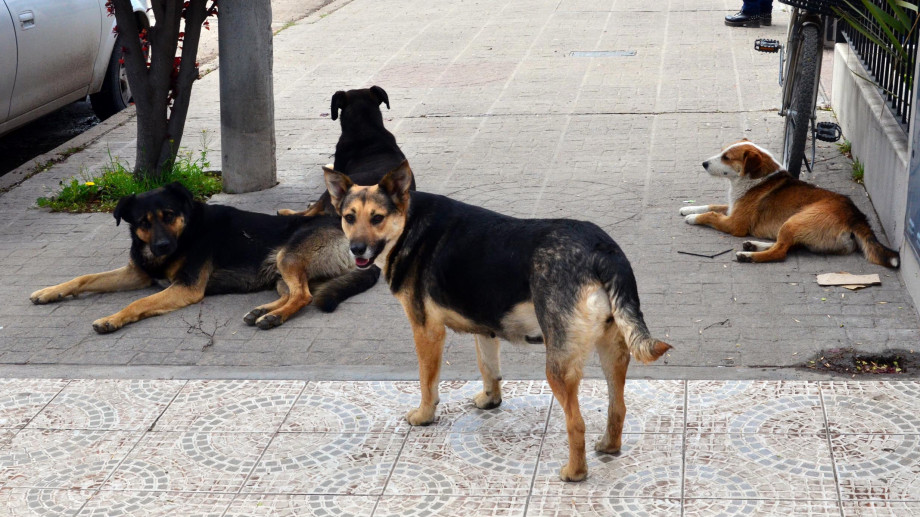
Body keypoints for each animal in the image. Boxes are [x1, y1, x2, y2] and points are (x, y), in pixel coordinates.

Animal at [29, 183, 378, 332]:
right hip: (281, 271)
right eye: (143, 222)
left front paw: (112, 319)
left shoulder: (186, 287)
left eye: (169, 215)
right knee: (295, 293)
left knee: (303, 295)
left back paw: (273, 318)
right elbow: (84, 277)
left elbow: (139, 303)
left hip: (288, 257)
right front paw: (49, 292)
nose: (162, 247)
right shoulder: (136, 273)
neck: (187, 231)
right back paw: (262, 311)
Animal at [324, 162, 668, 484]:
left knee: (576, 423)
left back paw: (575, 472)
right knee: (617, 406)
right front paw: (490, 400)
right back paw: (609, 446)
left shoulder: (426, 331)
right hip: (614, 352)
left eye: (377, 218)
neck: (408, 224)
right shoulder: (485, 328)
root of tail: (602, 249)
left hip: (558, 367)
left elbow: (427, 381)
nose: (356, 249)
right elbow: (488, 367)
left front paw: (424, 415)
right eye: (350, 217)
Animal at [680, 139, 904, 266]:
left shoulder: (735, 223)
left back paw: (749, 256)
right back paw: (754, 245)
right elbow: (713, 206)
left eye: (726, 157)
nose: (704, 163)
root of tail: (856, 216)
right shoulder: (733, 208)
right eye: (722, 152)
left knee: (780, 252)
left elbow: (712, 214)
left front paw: (693, 217)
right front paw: (688, 208)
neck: (756, 178)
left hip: (795, 220)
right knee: (787, 245)